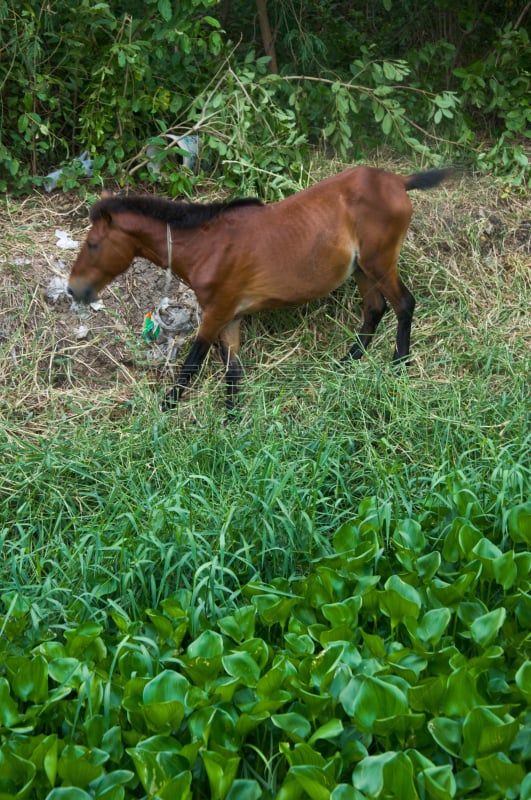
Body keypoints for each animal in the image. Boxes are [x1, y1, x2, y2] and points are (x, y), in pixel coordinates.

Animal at [68, 165, 450, 410]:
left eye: (93, 245)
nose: (73, 290)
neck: (206, 247)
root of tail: (398, 181)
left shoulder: (216, 313)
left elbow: (192, 364)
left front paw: (164, 410)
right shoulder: (230, 317)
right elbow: (232, 373)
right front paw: (231, 422)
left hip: (379, 263)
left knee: (404, 304)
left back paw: (398, 365)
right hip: (361, 270)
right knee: (374, 308)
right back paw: (347, 361)